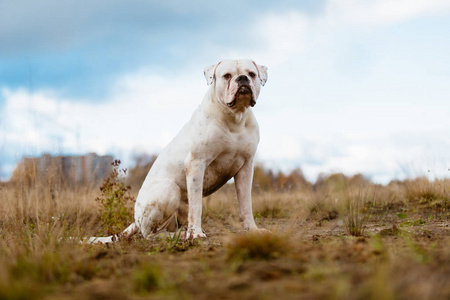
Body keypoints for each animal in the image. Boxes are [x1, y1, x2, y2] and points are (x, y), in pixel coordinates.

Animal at [91, 59, 268, 244]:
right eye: (227, 76)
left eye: (251, 74)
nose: (242, 79)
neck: (235, 118)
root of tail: (136, 220)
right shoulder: (196, 164)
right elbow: (197, 206)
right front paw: (196, 233)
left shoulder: (246, 167)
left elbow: (246, 204)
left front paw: (253, 230)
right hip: (169, 189)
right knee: (150, 234)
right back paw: (180, 235)